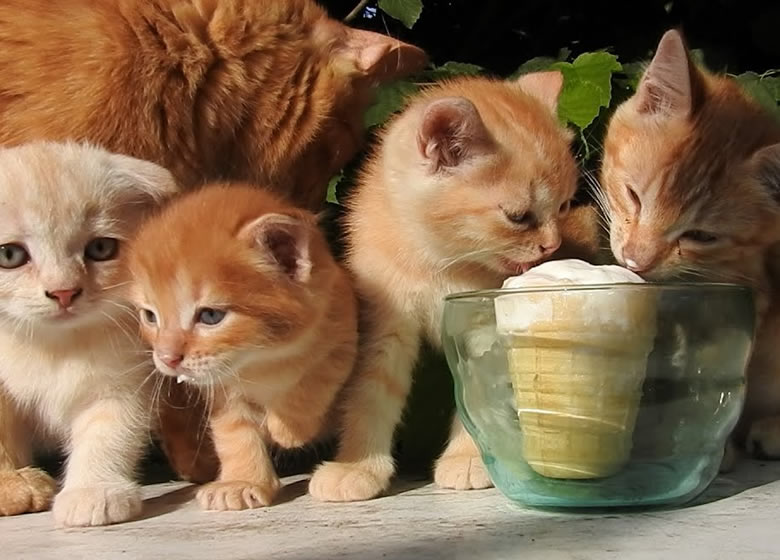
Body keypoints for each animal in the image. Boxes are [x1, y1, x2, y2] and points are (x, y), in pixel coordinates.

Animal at [0, 140, 177, 524]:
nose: (64, 291)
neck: (50, 346)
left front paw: (95, 490)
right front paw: (12, 484)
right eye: (9, 255)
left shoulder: (123, 375)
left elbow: (108, 429)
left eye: (100, 248)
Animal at [128, 183, 360, 508]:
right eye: (150, 316)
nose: (167, 358)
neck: (263, 360)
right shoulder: (221, 391)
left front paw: (288, 429)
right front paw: (241, 482)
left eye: (210, 316)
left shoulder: (343, 334)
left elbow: (316, 379)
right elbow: (234, 433)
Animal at [308, 71, 600, 504]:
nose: (551, 245)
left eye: (563, 206)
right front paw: (356, 467)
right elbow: (370, 391)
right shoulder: (385, 321)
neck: (440, 265)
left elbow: (481, 391)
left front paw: (469, 459)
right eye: (518, 217)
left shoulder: (480, 327)